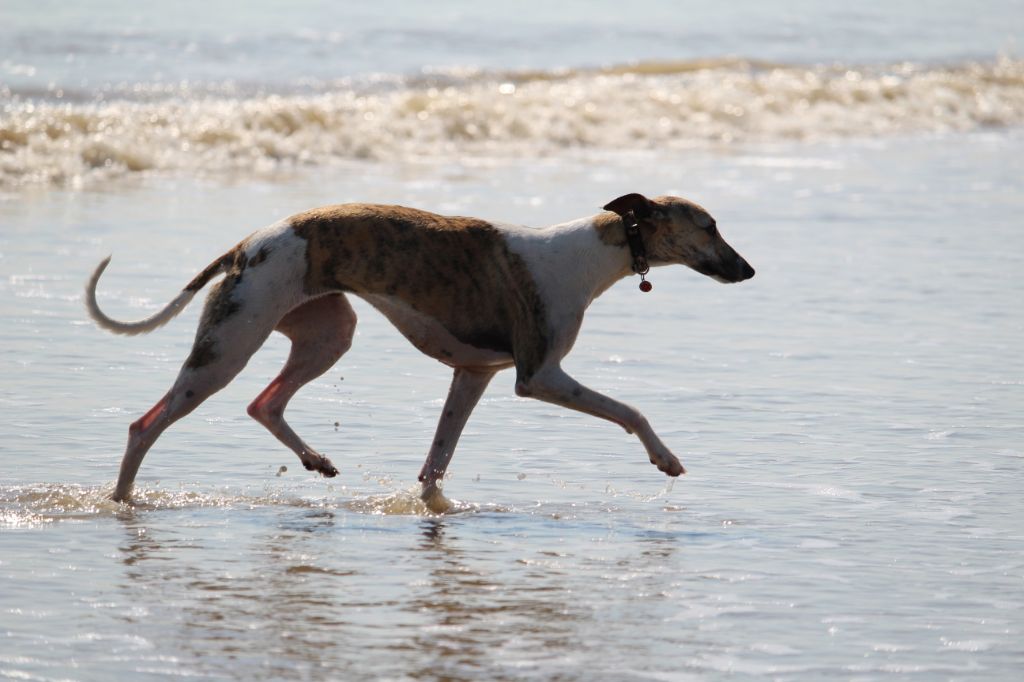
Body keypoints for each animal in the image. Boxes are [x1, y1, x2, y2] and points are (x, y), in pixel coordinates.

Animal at [86, 193, 753, 501]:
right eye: (710, 226)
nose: (748, 272)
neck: (588, 255)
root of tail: (247, 243)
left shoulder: (474, 373)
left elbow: (436, 461)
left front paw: (434, 508)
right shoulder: (537, 375)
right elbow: (630, 410)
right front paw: (665, 459)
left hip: (327, 332)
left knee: (264, 402)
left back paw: (315, 460)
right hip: (228, 346)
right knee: (146, 424)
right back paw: (122, 501)